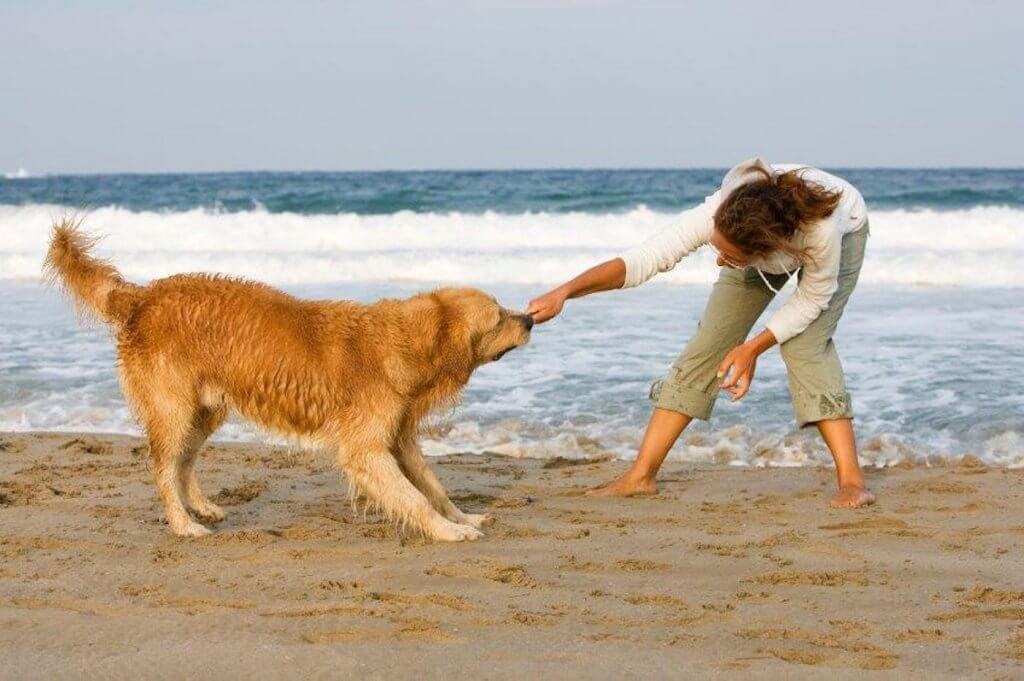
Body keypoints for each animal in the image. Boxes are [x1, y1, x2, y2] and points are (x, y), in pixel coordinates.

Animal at [44, 220, 532, 540]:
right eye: (497, 317)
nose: (529, 318)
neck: (402, 341)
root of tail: (143, 294)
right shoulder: (367, 449)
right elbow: (413, 498)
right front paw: (450, 532)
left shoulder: (399, 439)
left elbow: (434, 487)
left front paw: (464, 518)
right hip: (173, 408)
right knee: (164, 468)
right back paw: (184, 525)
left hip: (204, 411)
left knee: (183, 463)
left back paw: (201, 508)